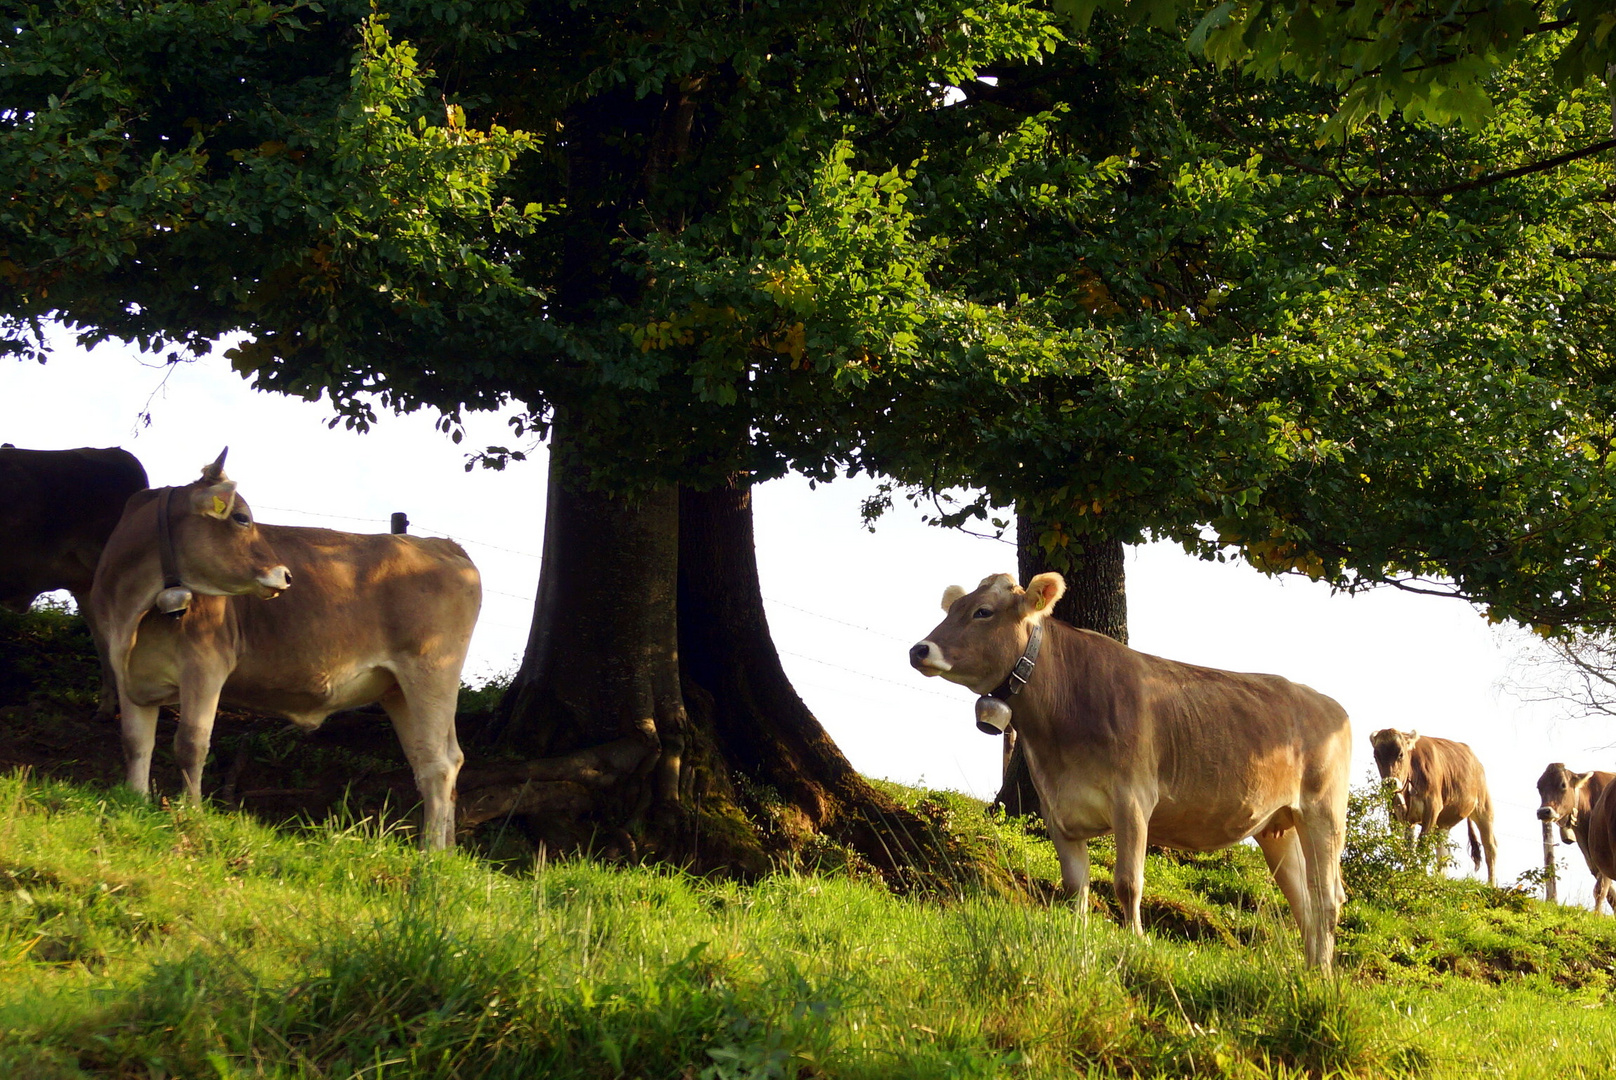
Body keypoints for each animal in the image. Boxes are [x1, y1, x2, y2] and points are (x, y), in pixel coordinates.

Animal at [90, 452, 478, 847]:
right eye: (241, 517)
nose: (286, 575)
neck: (131, 614)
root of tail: (441, 545)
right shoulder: (127, 672)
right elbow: (135, 741)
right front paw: (135, 801)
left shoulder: (204, 664)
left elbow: (191, 743)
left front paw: (191, 813)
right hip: (398, 689)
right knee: (440, 758)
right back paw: (446, 850)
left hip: (431, 672)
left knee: (437, 764)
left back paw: (430, 850)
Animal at [911, 572, 1350, 970]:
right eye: (952, 608)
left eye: (983, 611)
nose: (919, 649)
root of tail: (1329, 705)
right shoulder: (1056, 807)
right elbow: (1075, 884)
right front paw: (1078, 933)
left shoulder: (1133, 798)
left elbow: (1128, 882)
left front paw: (1137, 942)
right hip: (1277, 826)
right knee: (1304, 901)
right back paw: (1314, 971)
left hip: (1322, 814)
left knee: (1327, 898)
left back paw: (1324, 975)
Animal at [1370, 724, 1493, 885]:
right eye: (1376, 756)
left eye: (1400, 754)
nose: (1390, 783)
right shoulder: (1398, 815)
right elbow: (1406, 848)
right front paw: (1409, 874)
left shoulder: (1432, 808)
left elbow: (1422, 845)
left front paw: (1420, 875)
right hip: (1443, 823)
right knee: (1443, 852)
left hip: (1483, 808)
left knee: (1490, 847)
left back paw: (1492, 884)